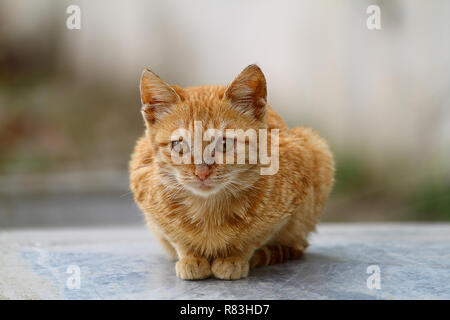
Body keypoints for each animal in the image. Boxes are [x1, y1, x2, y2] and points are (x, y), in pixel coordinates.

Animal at [130, 63, 334, 278]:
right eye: (179, 146)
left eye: (224, 144)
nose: (202, 173)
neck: (208, 210)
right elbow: (178, 238)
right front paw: (191, 257)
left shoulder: (288, 204)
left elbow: (253, 238)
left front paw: (234, 258)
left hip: (317, 148)